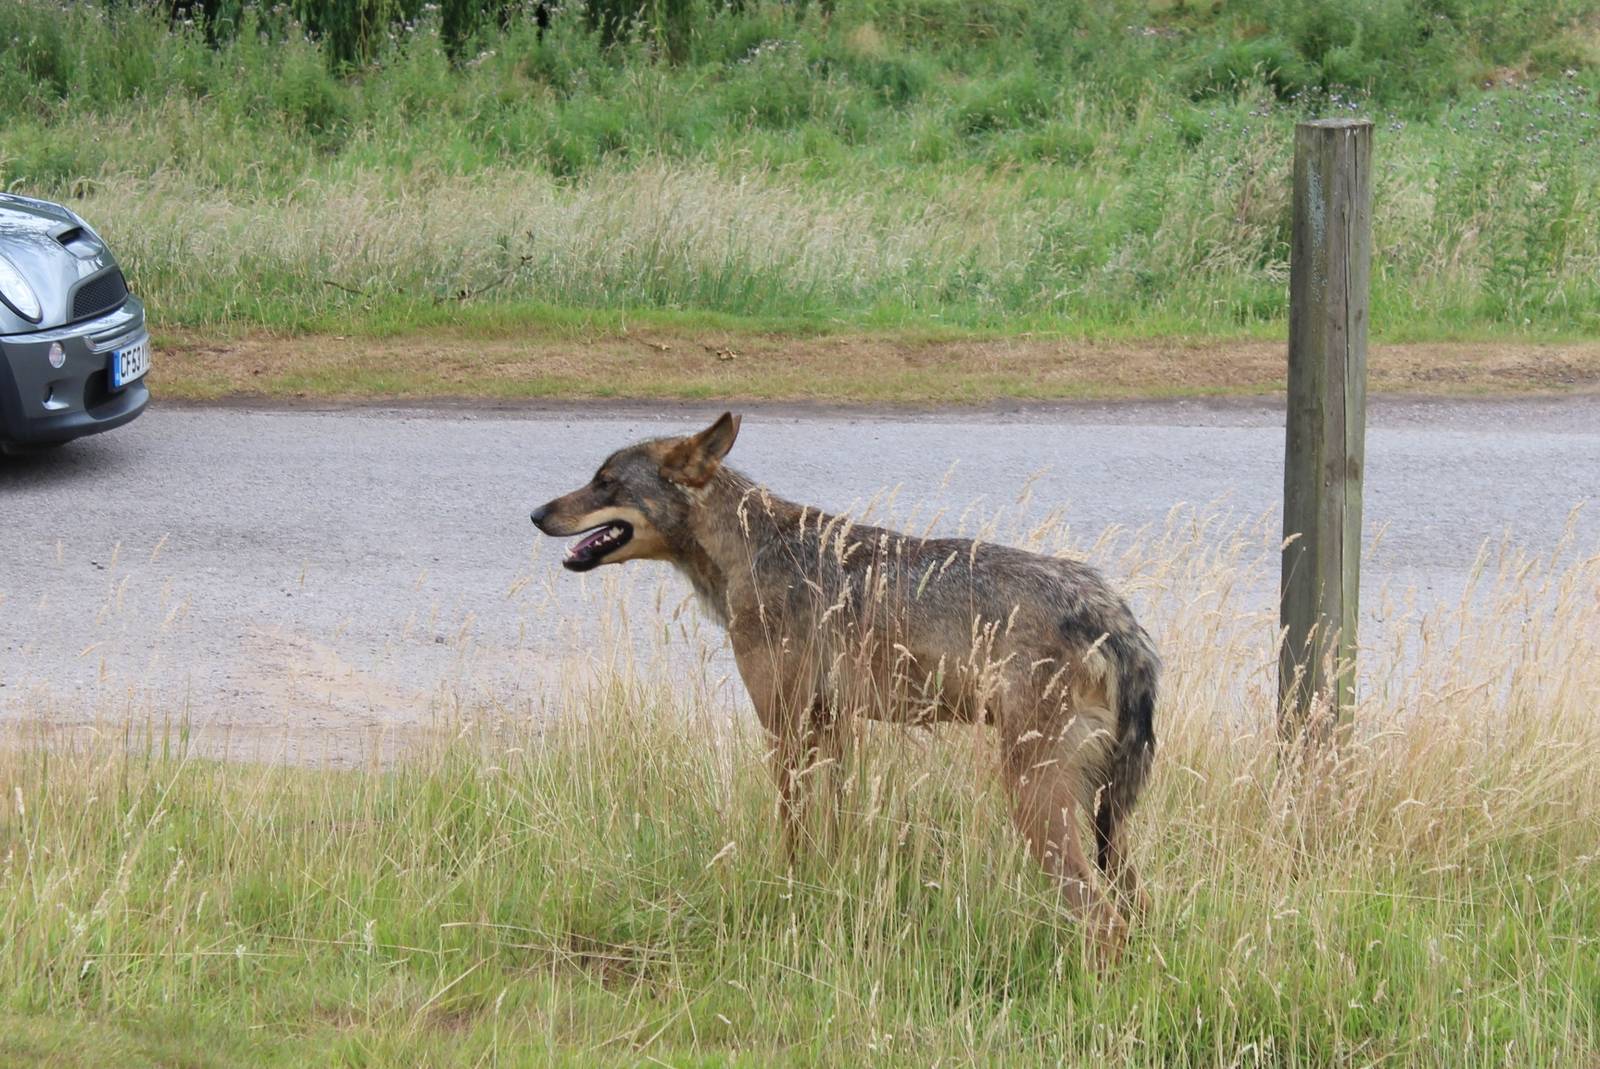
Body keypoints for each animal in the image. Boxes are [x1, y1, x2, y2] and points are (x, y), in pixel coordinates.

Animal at [531, 413, 1159, 958]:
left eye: (604, 481)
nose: (535, 513)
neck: (751, 549)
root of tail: (1113, 613)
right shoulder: (830, 726)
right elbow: (831, 835)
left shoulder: (783, 727)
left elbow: (791, 834)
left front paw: (788, 892)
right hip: (1104, 820)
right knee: (1137, 907)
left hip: (1038, 801)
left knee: (1106, 920)